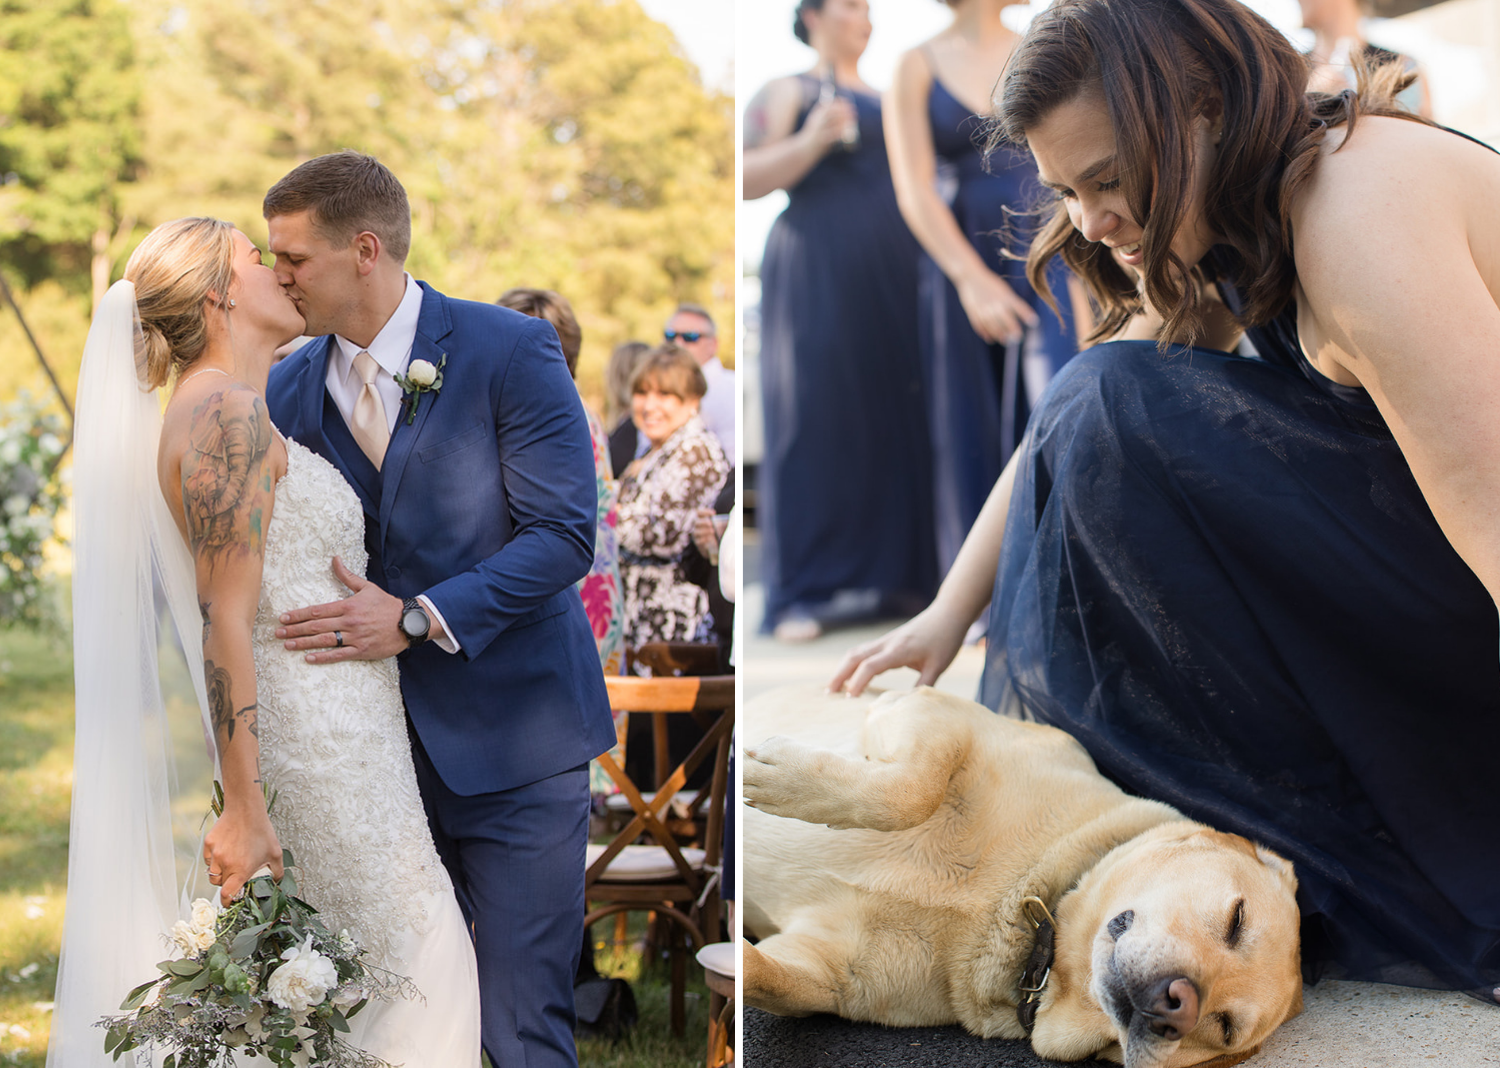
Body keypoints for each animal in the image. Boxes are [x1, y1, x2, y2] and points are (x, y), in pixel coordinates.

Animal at [744, 684, 1308, 1068]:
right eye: (1237, 919)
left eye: (1223, 1027)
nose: (1178, 1008)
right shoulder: (934, 711)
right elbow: (910, 792)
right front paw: (776, 776)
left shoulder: (826, 971)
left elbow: (760, 973)